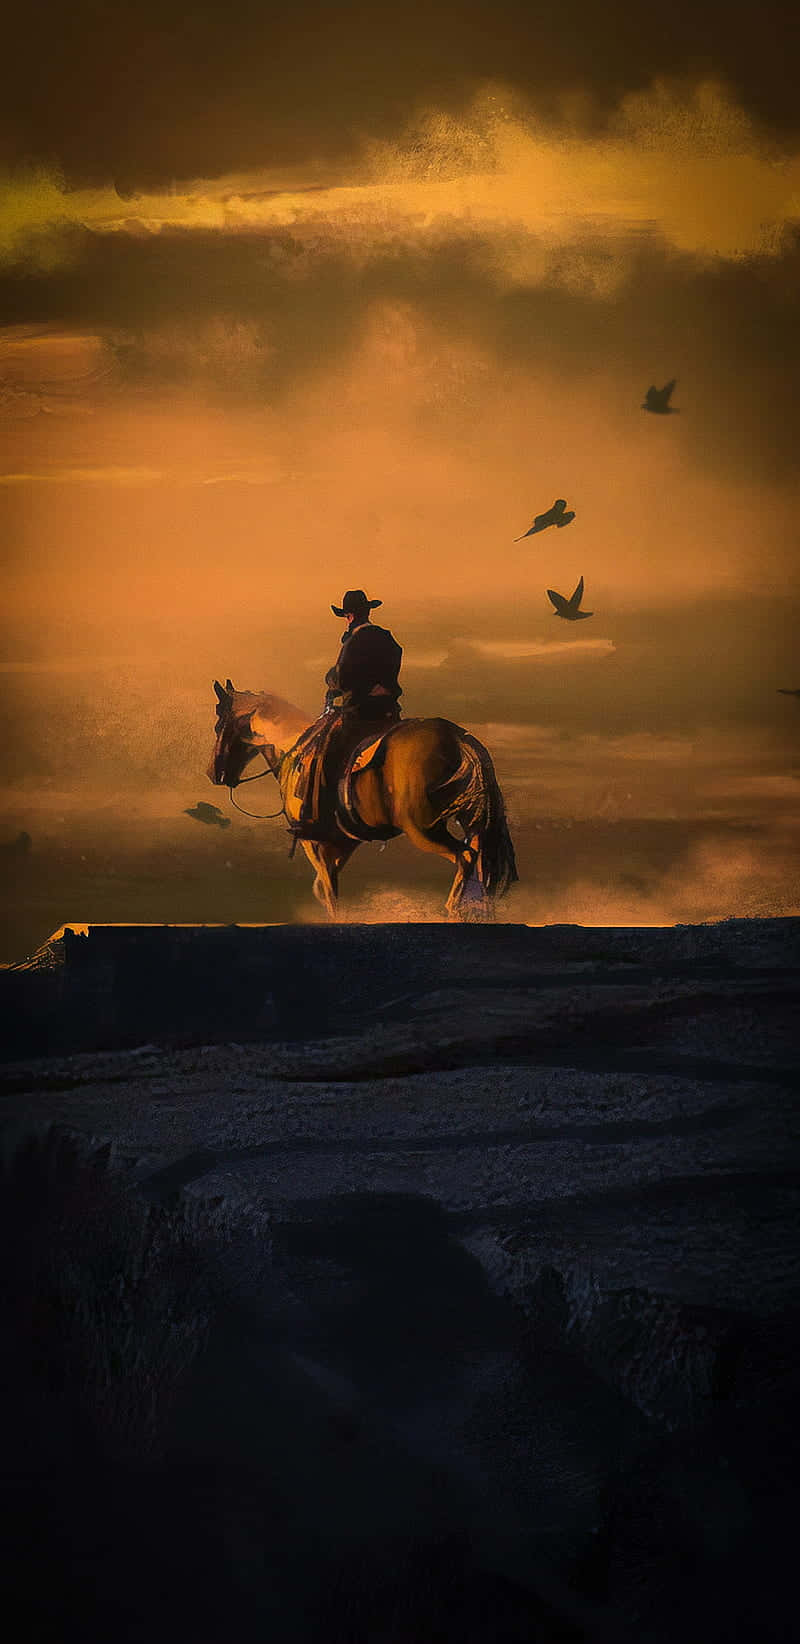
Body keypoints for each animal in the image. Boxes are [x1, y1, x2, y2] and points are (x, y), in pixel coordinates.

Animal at [207, 680, 518, 921]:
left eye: (219, 724)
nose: (214, 773)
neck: (293, 748)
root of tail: (457, 737)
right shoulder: (343, 843)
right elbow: (323, 888)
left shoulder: (313, 843)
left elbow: (329, 893)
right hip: (469, 822)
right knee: (479, 859)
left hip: (422, 829)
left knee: (465, 856)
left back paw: (453, 909)